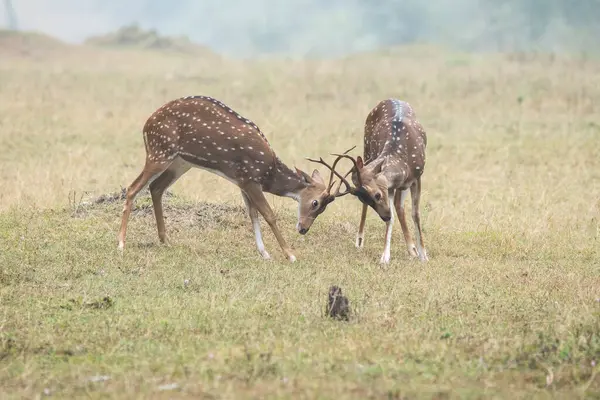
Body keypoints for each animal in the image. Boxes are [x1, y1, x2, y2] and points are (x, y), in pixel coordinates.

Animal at [117, 95, 352, 260]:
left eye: (323, 207)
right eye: (315, 202)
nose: (303, 229)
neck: (269, 173)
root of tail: (146, 124)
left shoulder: (242, 181)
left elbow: (253, 214)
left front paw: (264, 253)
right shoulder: (250, 178)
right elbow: (268, 214)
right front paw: (290, 254)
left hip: (181, 162)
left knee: (156, 187)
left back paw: (165, 240)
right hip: (160, 152)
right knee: (132, 188)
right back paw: (121, 243)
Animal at [310, 98, 432, 264]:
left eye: (377, 194)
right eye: (363, 198)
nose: (385, 216)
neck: (403, 163)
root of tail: (389, 99)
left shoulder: (417, 178)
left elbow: (415, 214)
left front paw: (423, 255)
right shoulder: (391, 187)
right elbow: (393, 217)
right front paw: (385, 257)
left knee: (399, 206)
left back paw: (412, 250)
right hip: (367, 149)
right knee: (396, 207)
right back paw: (360, 241)